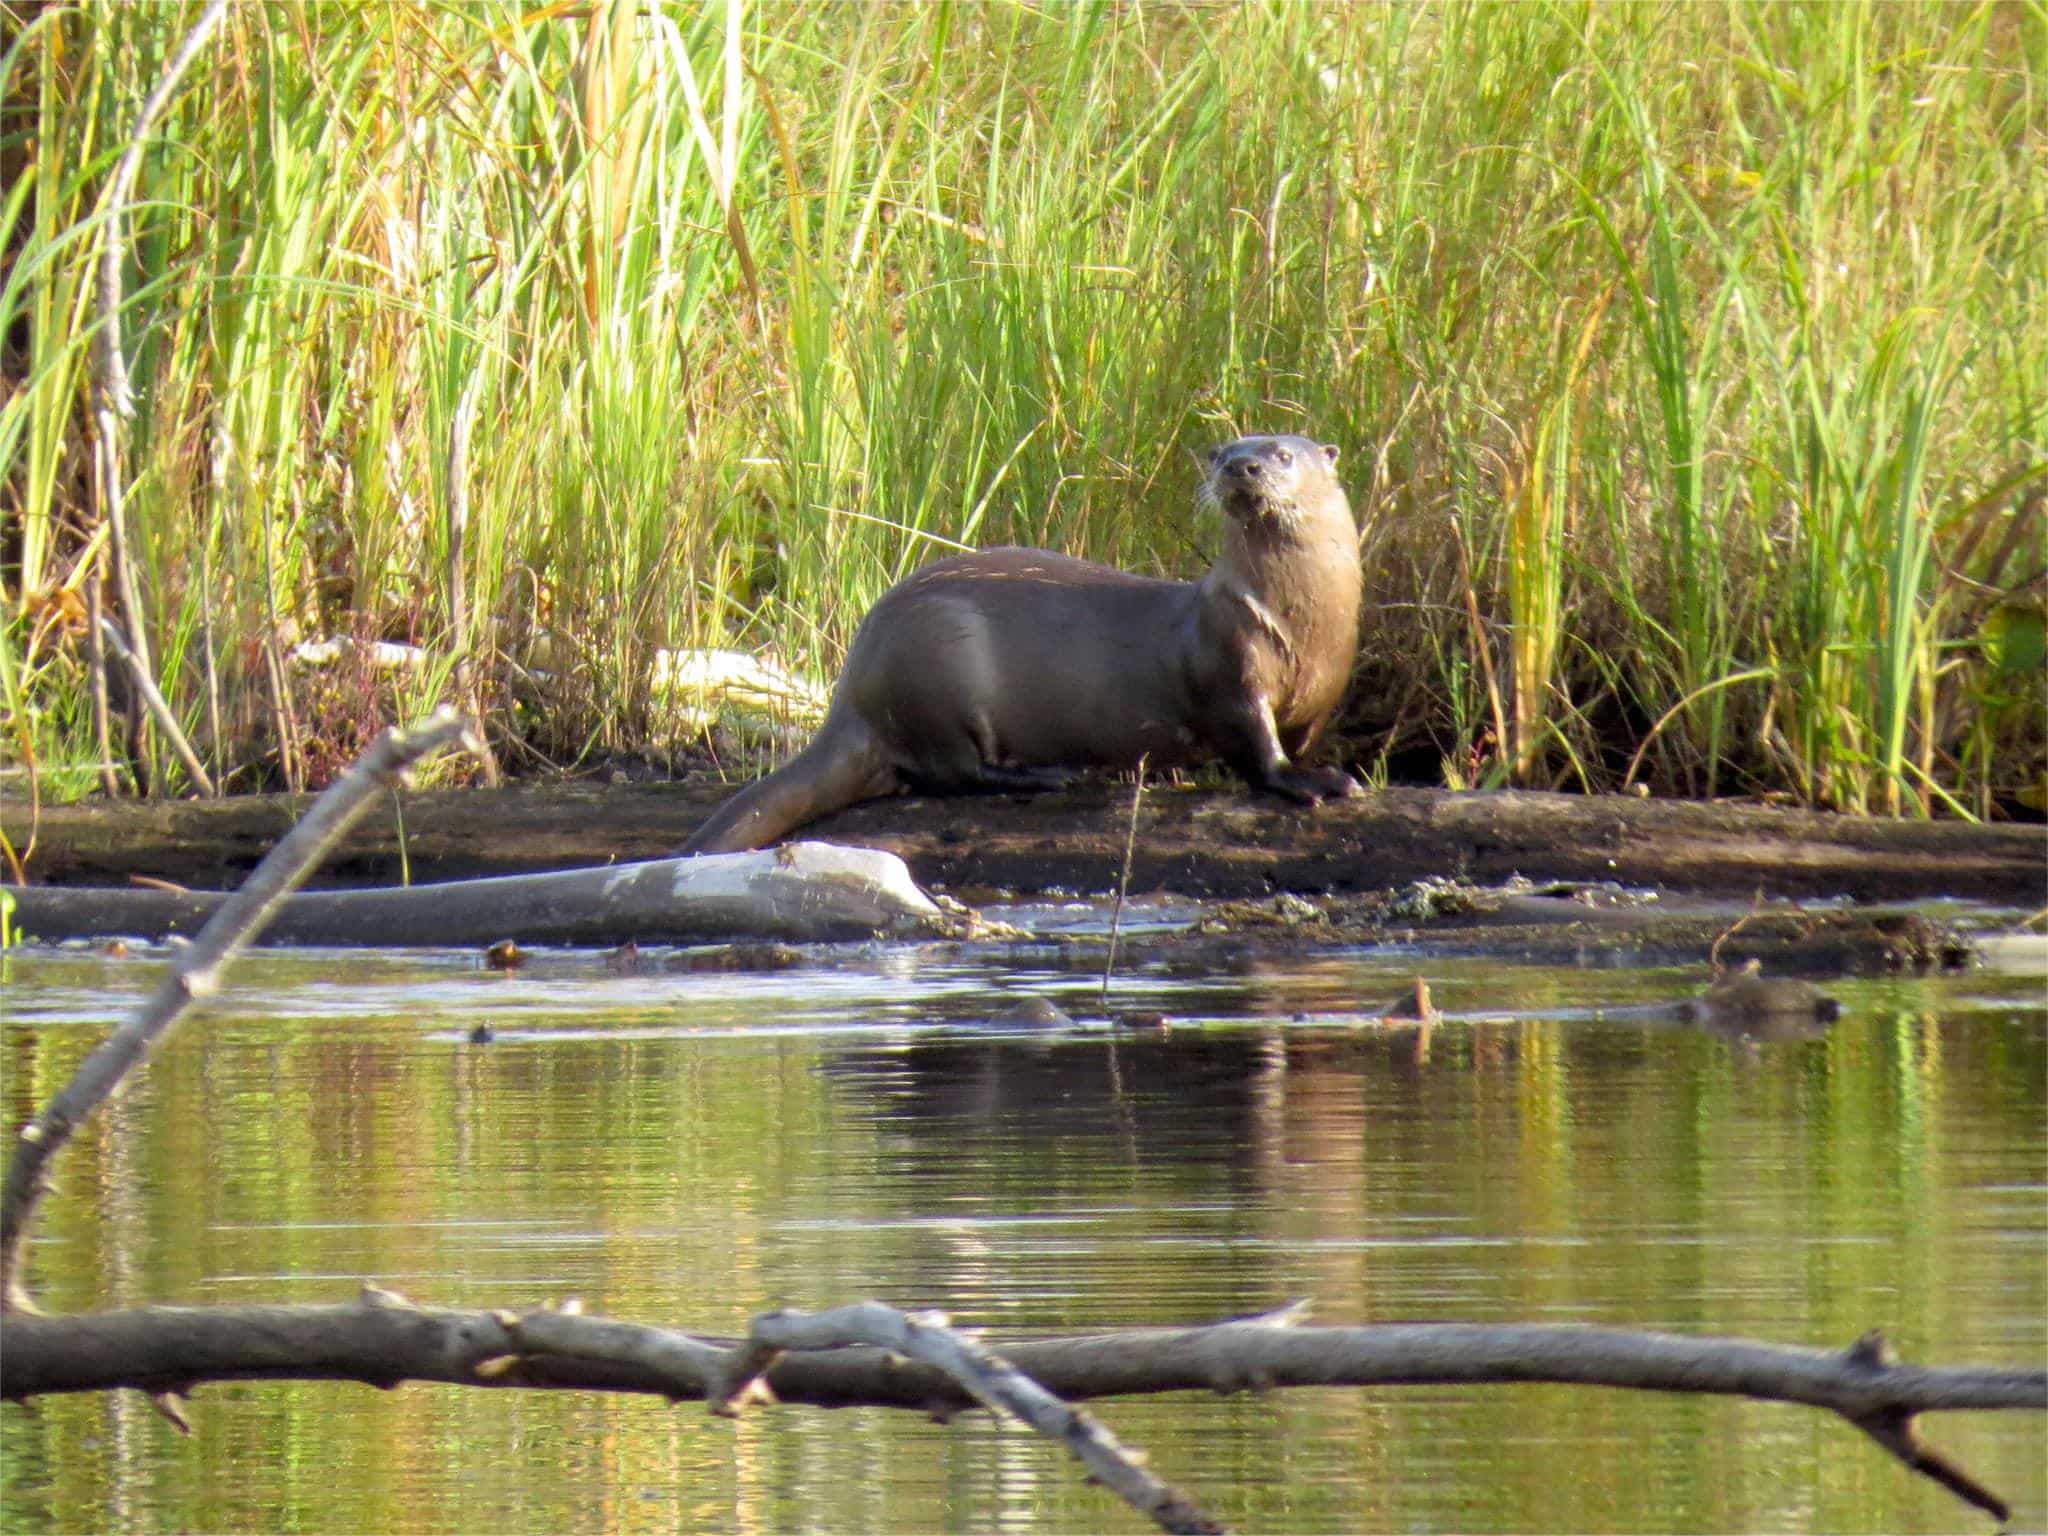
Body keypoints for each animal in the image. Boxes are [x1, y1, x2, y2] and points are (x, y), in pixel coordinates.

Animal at [682, 433, 1363, 855]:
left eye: (1282, 453)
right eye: (1223, 451)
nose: (1239, 467)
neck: (1304, 624)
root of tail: (853, 690)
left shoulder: (1326, 692)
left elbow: (1298, 736)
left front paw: (1317, 768)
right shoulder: (1229, 668)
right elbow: (1257, 746)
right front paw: (1315, 782)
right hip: (938, 660)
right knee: (949, 771)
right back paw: (1047, 775)